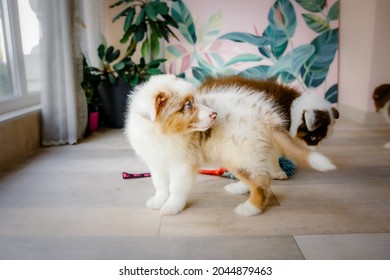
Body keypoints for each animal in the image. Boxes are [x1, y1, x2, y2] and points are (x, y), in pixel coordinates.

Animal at [125, 74, 336, 217]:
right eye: (187, 105)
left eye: (193, 101)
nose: (214, 114)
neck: (163, 134)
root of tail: (267, 115)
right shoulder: (156, 161)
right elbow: (160, 184)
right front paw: (158, 201)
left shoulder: (182, 164)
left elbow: (176, 187)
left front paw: (171, 207)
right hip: (239, 153)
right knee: (256, 176)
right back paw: (239, 189)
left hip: (241, 152)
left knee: (261, 183)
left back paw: (250, 208)